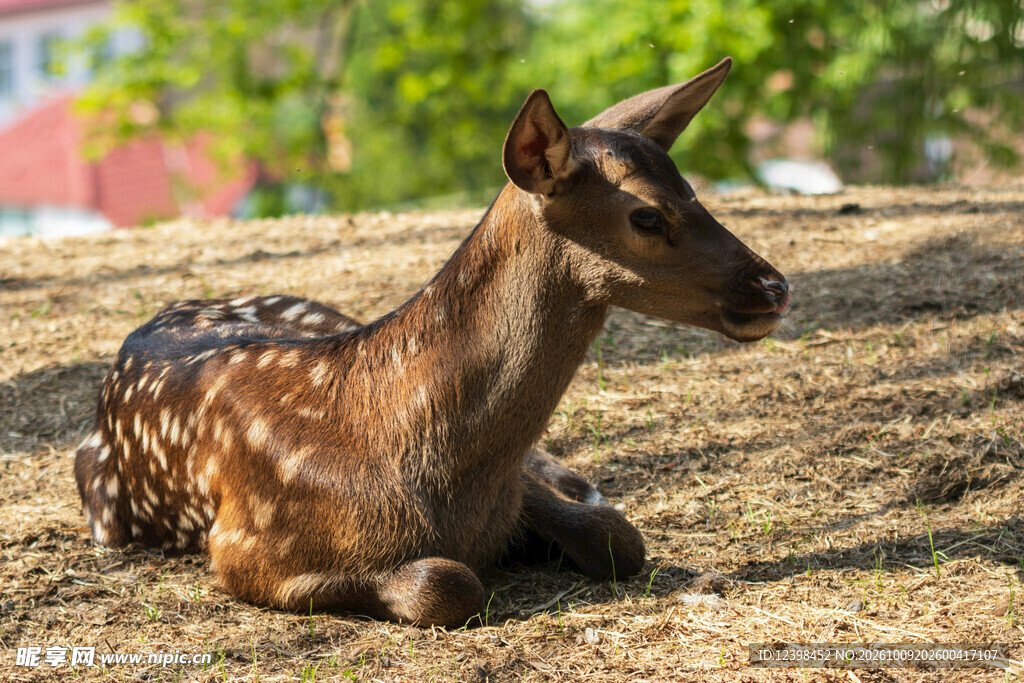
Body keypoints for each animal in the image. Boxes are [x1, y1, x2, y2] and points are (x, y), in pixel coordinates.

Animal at [74, 57, 789, 627]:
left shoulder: (514, 486)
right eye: (646, 214)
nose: (773, 286)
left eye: (691, 189)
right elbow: (447, 583)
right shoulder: (243, 546)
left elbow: (618, 536)